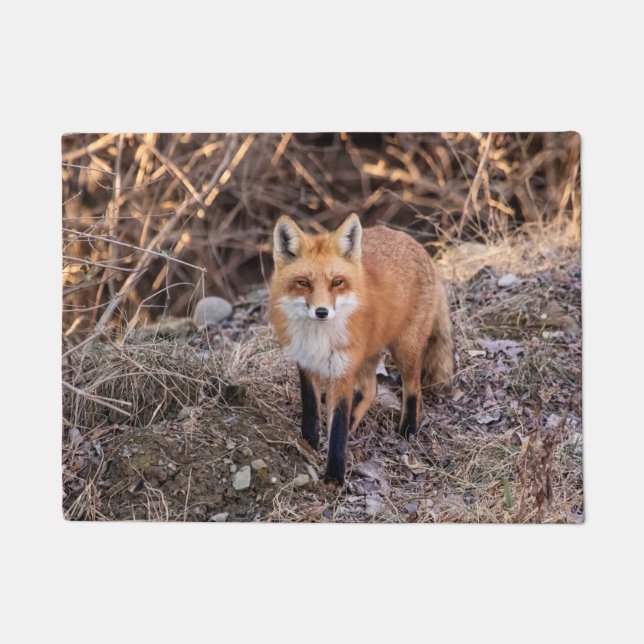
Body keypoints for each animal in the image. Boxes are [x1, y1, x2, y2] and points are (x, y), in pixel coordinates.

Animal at [268, 213, 454, 486]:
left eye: (336, 283)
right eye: (303, 283)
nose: (322, 312)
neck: (319, 338)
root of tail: (415, 244)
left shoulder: (343, 371)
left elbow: (338, 426)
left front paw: (334, 476)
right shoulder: (305, 362)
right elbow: (311, 407)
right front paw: (309, 441)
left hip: (404, 348)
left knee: (414, 388)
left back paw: (408, 429)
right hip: (367, 355)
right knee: (371, 389)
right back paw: (356, 421)